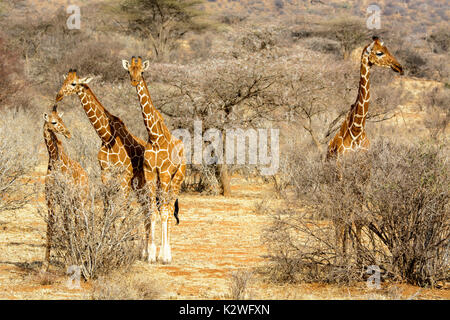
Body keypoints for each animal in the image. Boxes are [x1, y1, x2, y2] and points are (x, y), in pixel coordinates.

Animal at [42, 105, 88, 270]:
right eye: (54, 122)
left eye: (62, 120)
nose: (68, 133)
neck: (54, 160)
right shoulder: (50, 197)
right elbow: (51, 224)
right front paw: (44, 265)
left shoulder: (65, 197)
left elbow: (68, 226)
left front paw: (69, 259)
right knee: (76, 222)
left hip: (81, 200)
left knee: (80, 223)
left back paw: (81, 256)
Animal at [120, 56, 185, 264]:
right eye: (129, 71)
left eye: (141, 71)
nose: (134, 81)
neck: (154, 137)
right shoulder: (149, 174)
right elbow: (150, 211)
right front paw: (150, 254)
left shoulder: (163, 174)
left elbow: (163, 213)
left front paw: (162, 255)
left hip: (176, 179)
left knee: (169, 209)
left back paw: (168, 253)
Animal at [326, 37, 404, 262]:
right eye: (379, 53)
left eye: (387, 49)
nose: (399, 67)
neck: (357, 129)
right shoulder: (343, 175)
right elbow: (344, 217)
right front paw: (341, 259)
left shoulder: (363, 176)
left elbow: (358, 218)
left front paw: (360, 259)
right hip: (333, 181)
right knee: (337, 215)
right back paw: (339, 254)